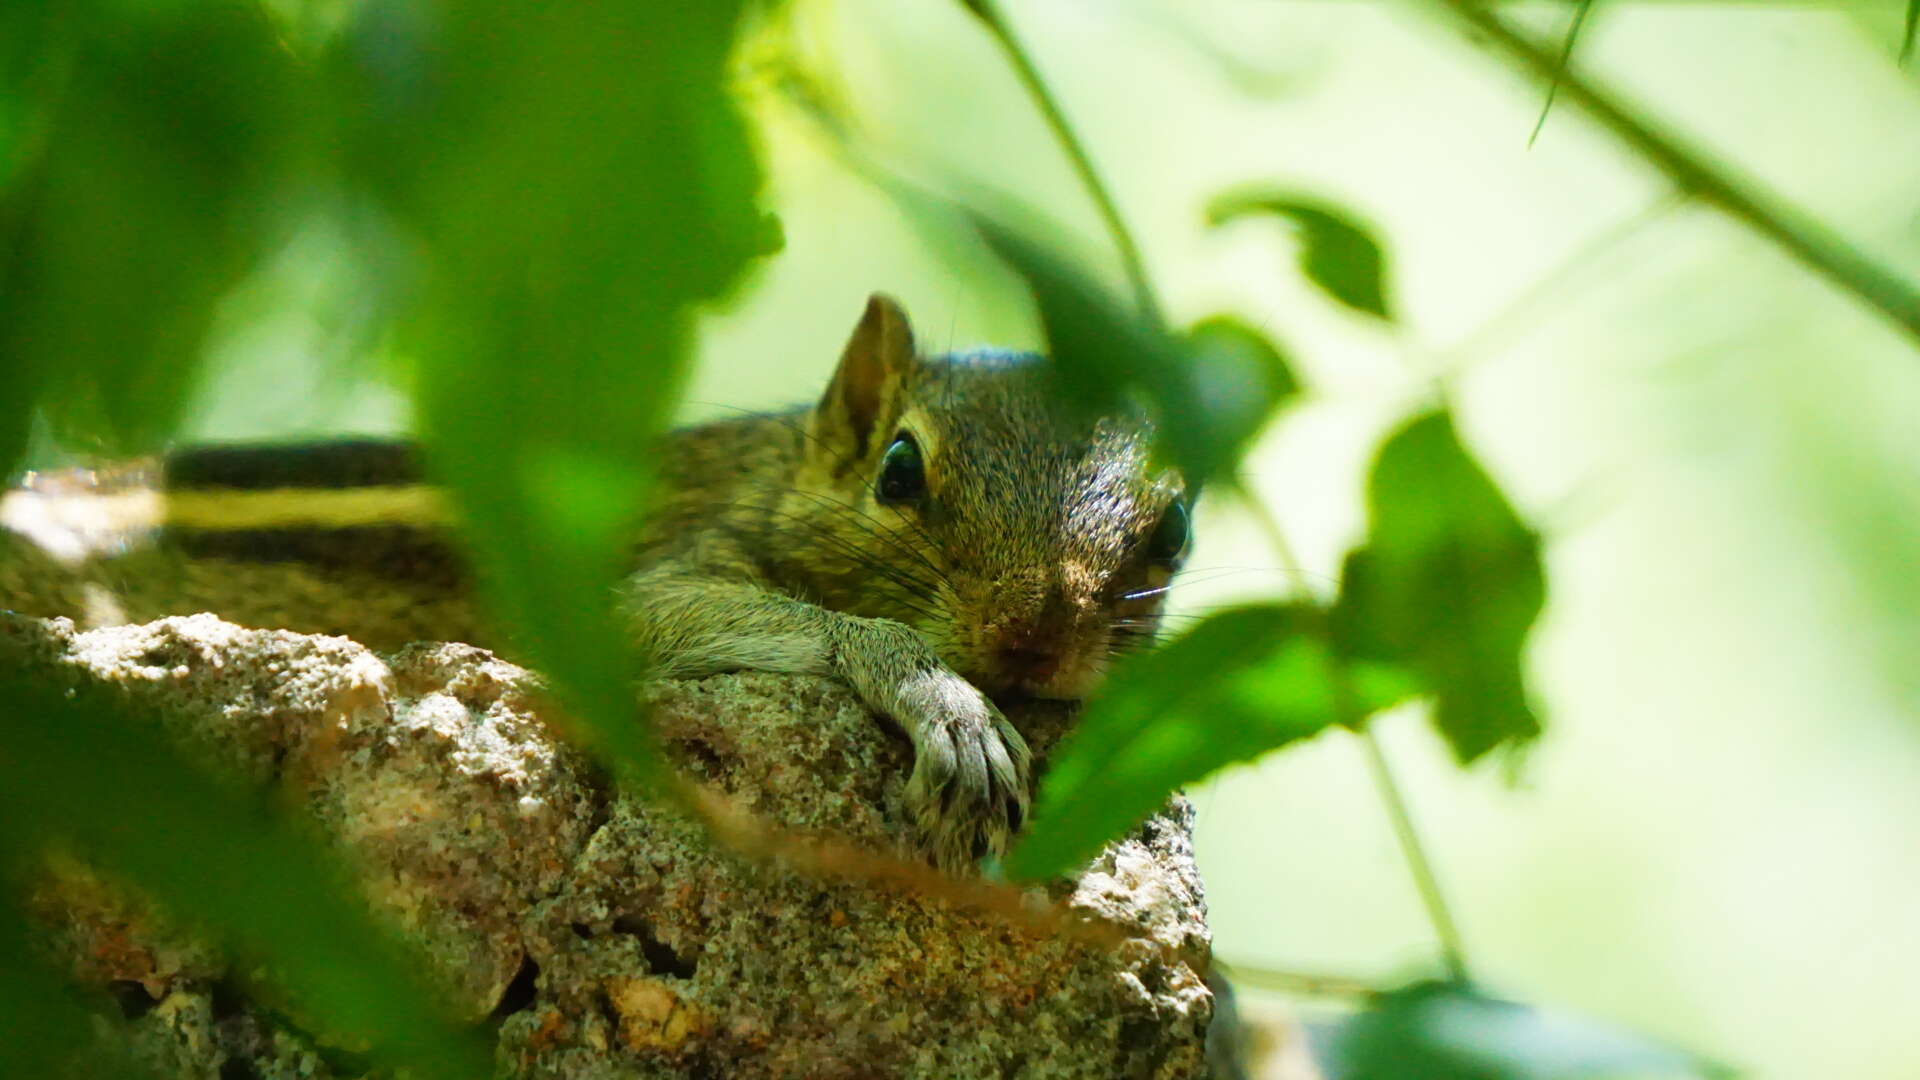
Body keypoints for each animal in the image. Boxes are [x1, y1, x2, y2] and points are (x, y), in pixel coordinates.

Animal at [0, 292, 1190, 864]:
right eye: (899, 469)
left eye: (1175, 527)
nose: (1030, 639)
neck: (768, 471)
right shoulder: (646, 578)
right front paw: (944, 700)